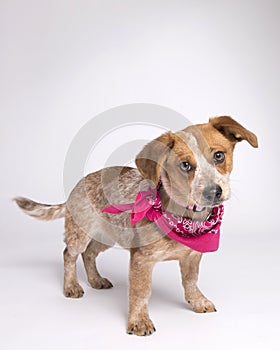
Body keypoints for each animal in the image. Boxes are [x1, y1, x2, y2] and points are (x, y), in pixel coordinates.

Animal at [13, 116, 258, 334]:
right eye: (185, 165)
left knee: (89, 254)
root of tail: (78, 185)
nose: (213, 192)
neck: (185, 219)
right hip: (81, 234)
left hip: (107, 237)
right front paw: (139, 321)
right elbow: (141, 292)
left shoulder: (192, 255)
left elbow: (191, 281)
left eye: (219, 156)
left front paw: (197, 301)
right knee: (69, 254)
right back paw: (71, 286)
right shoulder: (142, 259)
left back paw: (95, 280)